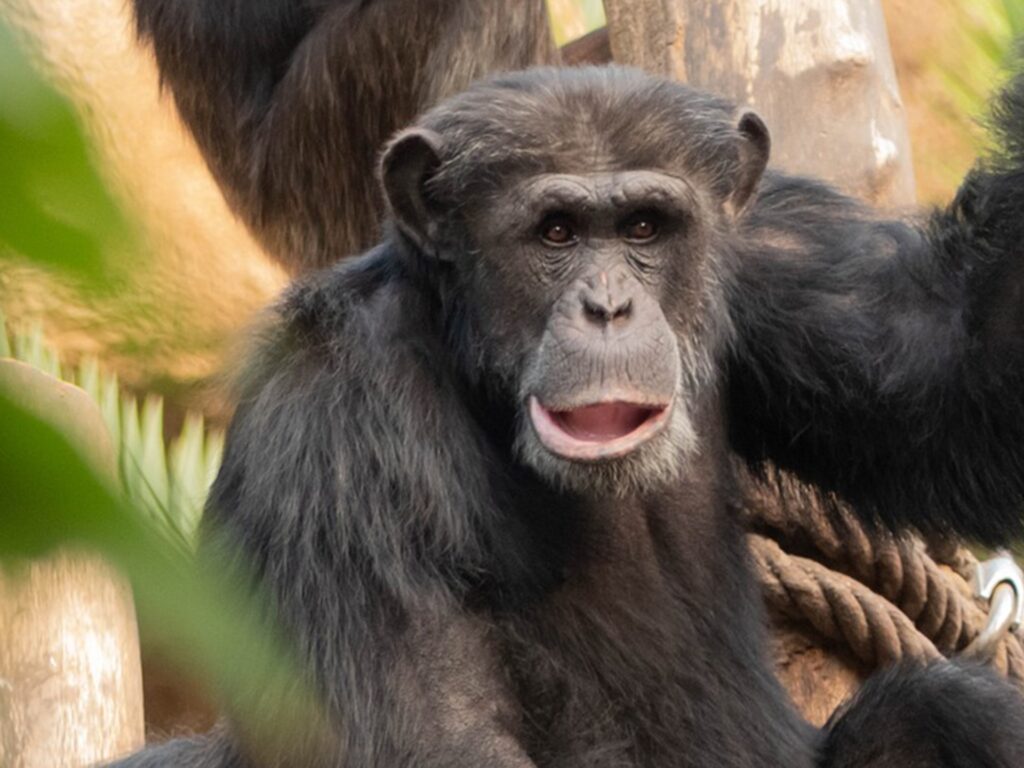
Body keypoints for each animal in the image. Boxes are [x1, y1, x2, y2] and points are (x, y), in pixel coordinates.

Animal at [109, 63, 1024, 766]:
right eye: (555, 233)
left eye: (646, 226)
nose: (609, 306)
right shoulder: (333, 423)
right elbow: (442, 736)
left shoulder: (774, 246)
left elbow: (952, 361)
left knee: (949, 713)